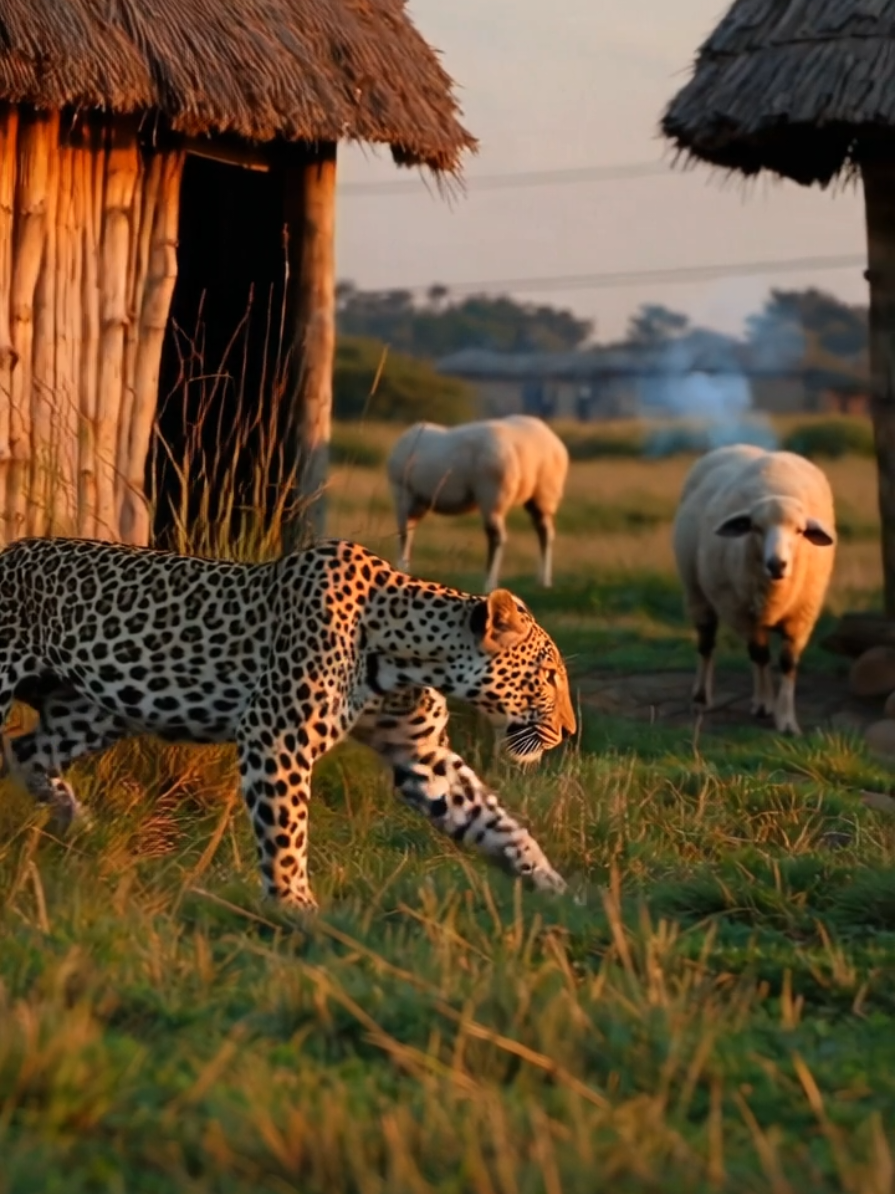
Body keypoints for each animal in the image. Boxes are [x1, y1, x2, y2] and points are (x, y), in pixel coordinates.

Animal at [0, 535, 577, 911]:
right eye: (547, 676)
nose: (569, 733)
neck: (405, 655)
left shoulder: (423, 756)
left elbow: (495, 823)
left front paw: (556, 891)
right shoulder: (274, 738)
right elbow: (285, 831)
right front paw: (294, 910)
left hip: (96, 708)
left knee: (28, 750)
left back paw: (76, 822)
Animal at [387, 414, 569, 592]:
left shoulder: (402, 493)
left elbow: (404, 534)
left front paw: (401, 569)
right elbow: (408, 532)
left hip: (492, 495)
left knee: (497, 538)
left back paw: (489, 584)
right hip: (542, 496)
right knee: (545, 533)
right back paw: (544, 581)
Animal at [672, 443, 837, 736]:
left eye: (800, 531)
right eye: (755, 528)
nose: (776, 564)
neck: (775, 593)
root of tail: (735, 447)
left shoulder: (801, 617)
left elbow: (787, 663)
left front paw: (787, 721)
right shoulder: (742, 613)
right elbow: (759, 655)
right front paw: (764, 705)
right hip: (696, 592)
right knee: (707, 645)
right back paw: (702, 697)